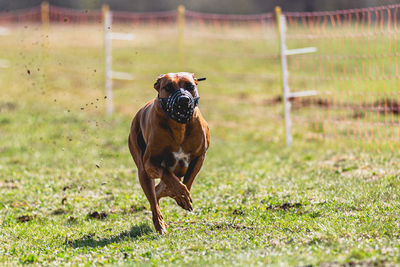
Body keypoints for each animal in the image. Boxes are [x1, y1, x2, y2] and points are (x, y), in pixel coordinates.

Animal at [129, 71, 211, 234]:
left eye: (190, 86)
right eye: (167, 87)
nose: (184, 99)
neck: (179, 126)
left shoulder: (200, 157)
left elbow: (188, 180)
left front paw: (182, 196)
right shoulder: (150, 163)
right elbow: (168, 176)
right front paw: (181, 195)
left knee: (159, 190)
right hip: (143, 171)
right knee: (154, 200)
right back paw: (160, 225)